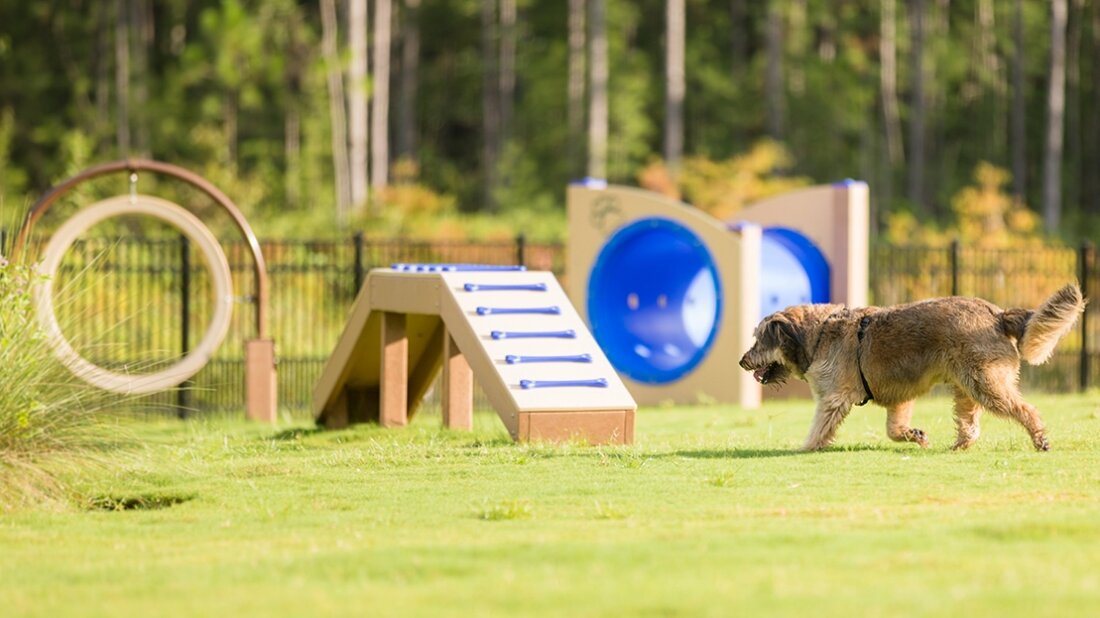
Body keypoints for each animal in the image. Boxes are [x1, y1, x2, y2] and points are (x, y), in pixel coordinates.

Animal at [739, 283, 1082, 446]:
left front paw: (806, 448)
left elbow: (819, 428)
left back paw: (1039, 438)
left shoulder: (833, 399)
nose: (742, 360)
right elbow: (893, 429)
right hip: (967, 388)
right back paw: (960, 445)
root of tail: (997, 313)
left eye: (758, 340)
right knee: (969, 423)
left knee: (1026, 409)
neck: (819, 333)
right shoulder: (899, 397)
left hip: (986, 384)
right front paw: (914, 435)